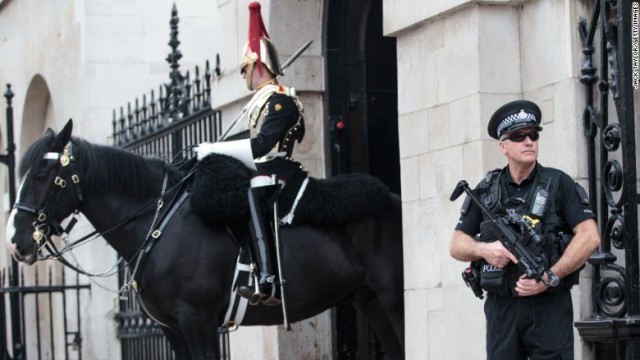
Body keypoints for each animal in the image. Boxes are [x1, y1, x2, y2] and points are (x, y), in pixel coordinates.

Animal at [5, 121, 402, 360]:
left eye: (41, 174)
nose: (15, 242)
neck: (158, 221)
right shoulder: (172, 329)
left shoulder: (198, 320)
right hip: (371, 301)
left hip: (392, 298)